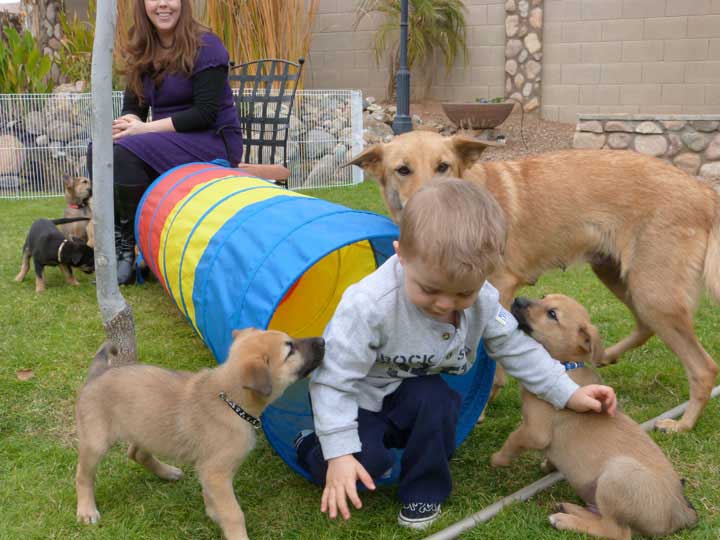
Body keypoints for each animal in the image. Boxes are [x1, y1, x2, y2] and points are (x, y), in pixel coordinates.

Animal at [76, 330, 326, 540]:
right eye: (290, 350)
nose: (323, 340)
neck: (231, 402)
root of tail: (97, 374)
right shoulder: (216, 472)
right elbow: (233, 512)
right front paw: (235, 533)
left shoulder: (209, 471)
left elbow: (212, 498)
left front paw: (213, 514)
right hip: (96, 442)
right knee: (83, 476)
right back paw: (86, 510)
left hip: (145, 428)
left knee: (136, 453)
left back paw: (167, 472)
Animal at [346, 132, 716, 434]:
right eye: (402, 170)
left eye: (443, 166)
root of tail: (703, 189)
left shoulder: (501, 288)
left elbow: (495, 363)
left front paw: (482, 408)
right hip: (620, 277)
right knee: (644, 327)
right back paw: (604, 355)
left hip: (653, 293)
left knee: (704, 368)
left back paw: (682, 424)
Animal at [490, 296, 696, 540]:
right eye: (543, 297)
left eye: (552, 314)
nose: (518, 299)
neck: (566, 365)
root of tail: (681, 513)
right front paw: (549, 465)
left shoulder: (534, 431)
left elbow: (513, 439)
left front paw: (498, 459)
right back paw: (569, 508)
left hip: (616, 476)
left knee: (615, 531)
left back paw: (564, 520)